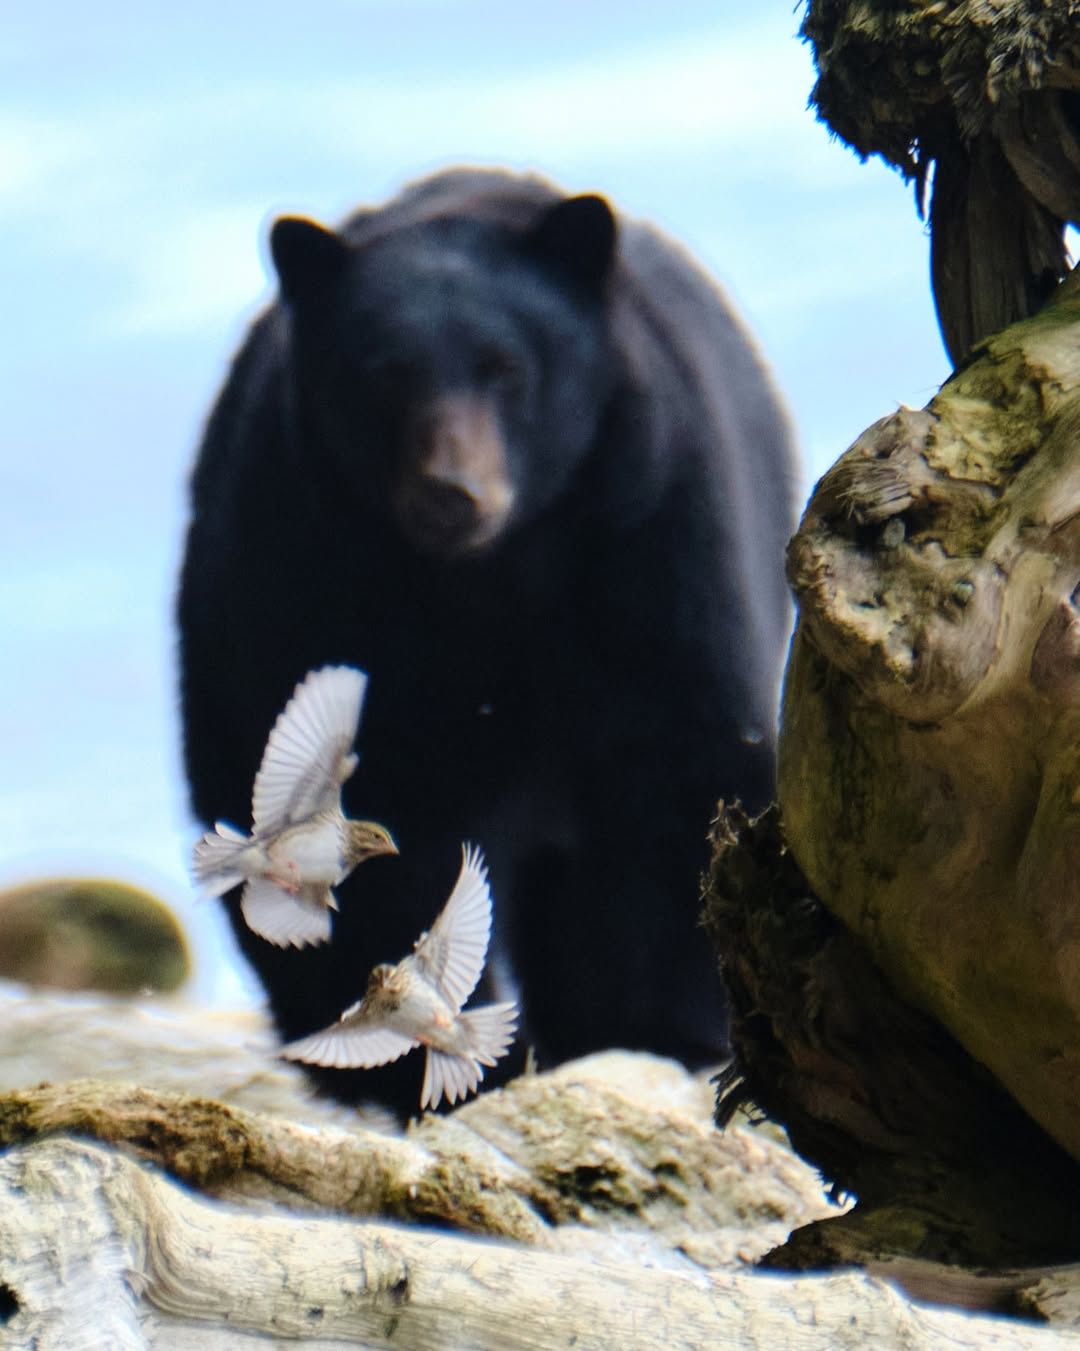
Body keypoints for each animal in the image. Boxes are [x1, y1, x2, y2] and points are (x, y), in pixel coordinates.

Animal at [178, 166, 797, 1113]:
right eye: (383, 373)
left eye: (508, 369)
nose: (452, 493)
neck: (492, 582)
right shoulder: (313, 577)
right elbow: (379, 823)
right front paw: (431, 1049)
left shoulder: (657, 542)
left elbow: (679, 771)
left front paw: (652, 1029)